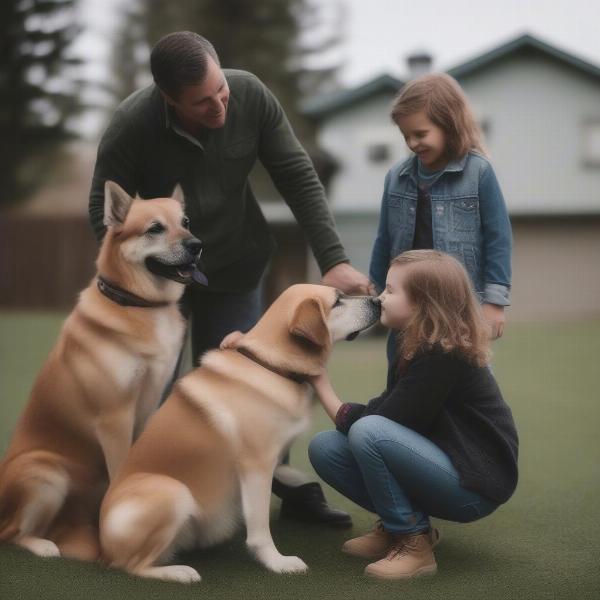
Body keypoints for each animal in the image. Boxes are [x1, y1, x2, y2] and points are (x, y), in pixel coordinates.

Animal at [0, 180, 206, 560]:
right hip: (46, 473)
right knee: (10, 532)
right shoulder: (115, 417)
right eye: (155, 228)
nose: (196, 245)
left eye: (185, 222)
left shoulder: (147, 407)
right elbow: (121, 468)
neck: (141, 306)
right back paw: (44, 545)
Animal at [98, 284, 380, 584]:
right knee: (131, 565)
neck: (270, 365)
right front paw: (277, 562)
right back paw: (179, 572)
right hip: (173, 491)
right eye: (337, 301)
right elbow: (259, 527)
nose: (377, 300)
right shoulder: (256, 466)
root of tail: (103, 545)